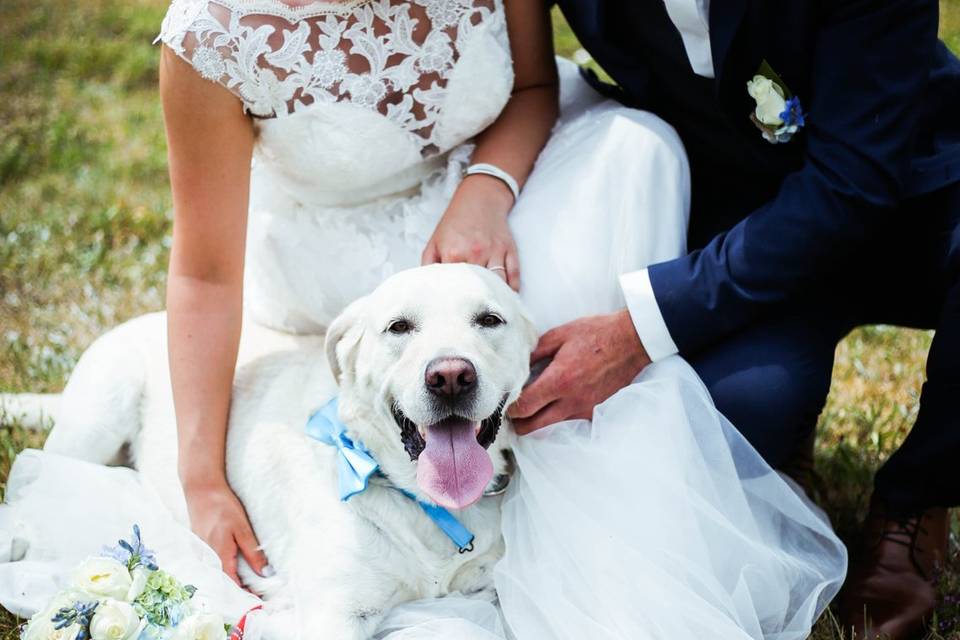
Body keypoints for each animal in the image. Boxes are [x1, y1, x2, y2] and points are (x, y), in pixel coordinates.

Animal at [37, 264, 540, 636]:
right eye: (399, 327)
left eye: (489, 320)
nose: (451, 376)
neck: (428, 504)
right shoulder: (335, 614)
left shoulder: (486, 593)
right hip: (95, 422)